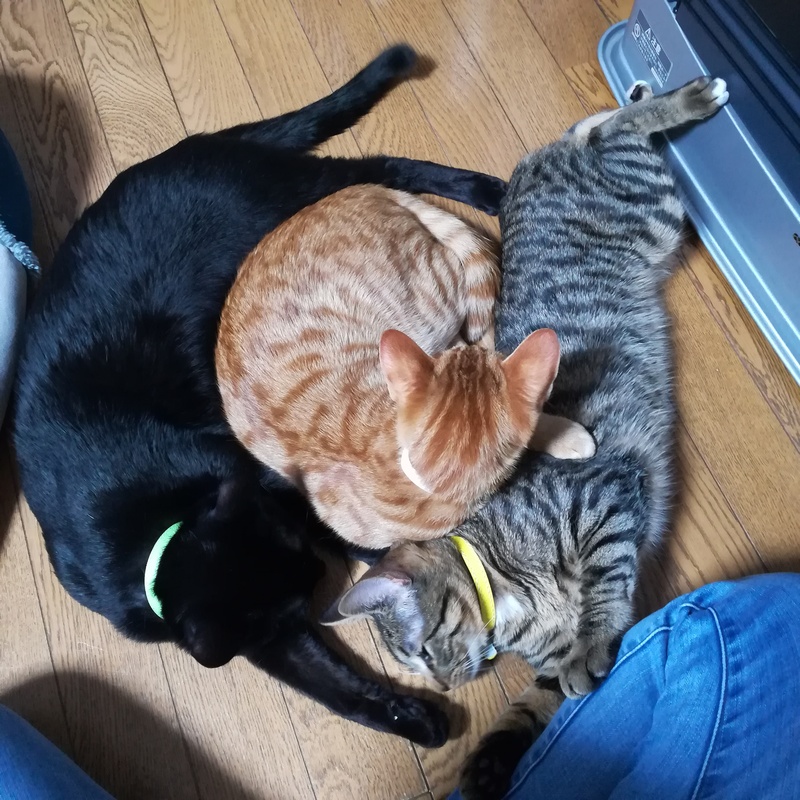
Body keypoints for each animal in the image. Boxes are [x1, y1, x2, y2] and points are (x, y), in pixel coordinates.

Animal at [12, 45, 510, 747]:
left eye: (312, 572)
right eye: (302, 588)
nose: (321, 584)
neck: (147, 535)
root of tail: (201, 147)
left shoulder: (275, 483)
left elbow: (353, 531)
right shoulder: (265, 630)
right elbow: (333, 688)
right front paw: (414, 720)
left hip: (287, 196)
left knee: (378, 164)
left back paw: (486, 190)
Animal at [320, 75, 729, 778]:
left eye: (421, 651)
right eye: (419, 671)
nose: (449, 685)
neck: (509, 601)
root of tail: (529, 170)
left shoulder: (603, 494)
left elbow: (606, 580)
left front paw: (594, 638)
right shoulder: (547, 668)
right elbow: (540, 703)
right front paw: (491, 761)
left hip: (653, 205)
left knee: (612, 129)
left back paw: (685, 96)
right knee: (596, 129)